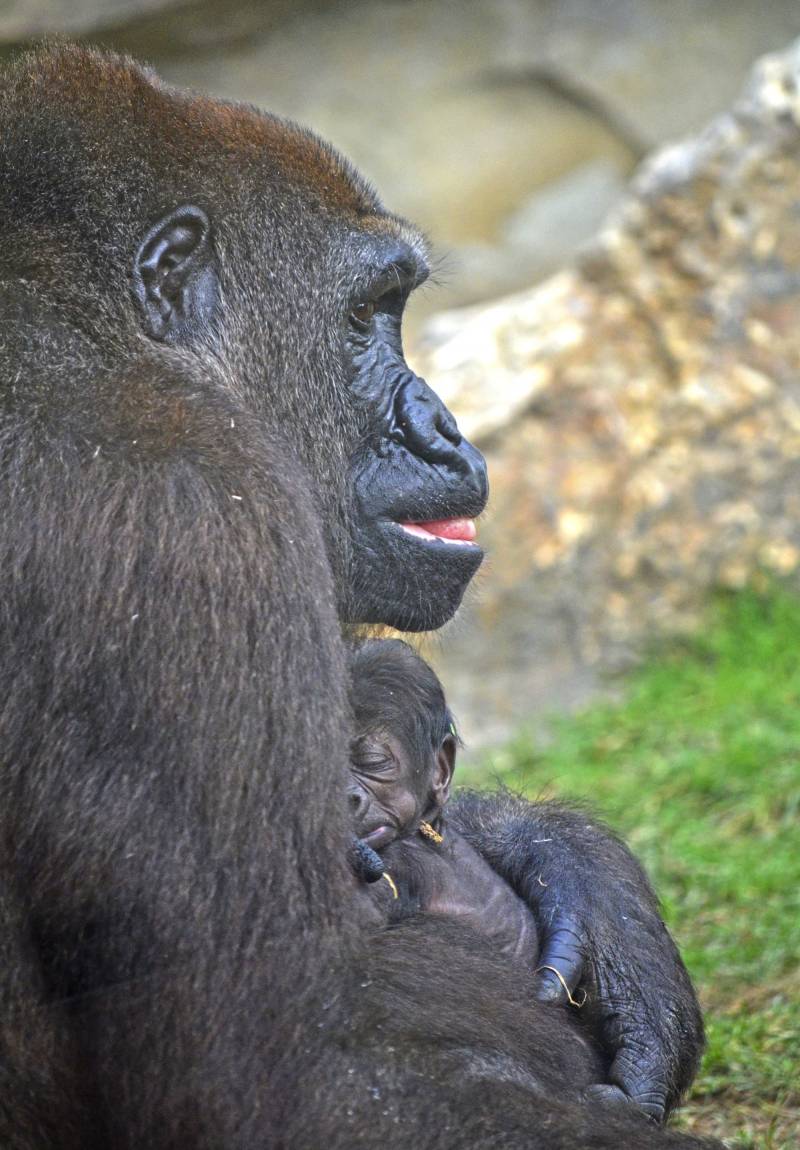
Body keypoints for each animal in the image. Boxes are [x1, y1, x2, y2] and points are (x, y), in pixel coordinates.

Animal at [0, 44, 712, 1150]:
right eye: (364, 315)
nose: (443, 426)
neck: (93, 324)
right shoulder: (187, 510)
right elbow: (293, 1075)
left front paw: (580, 880)